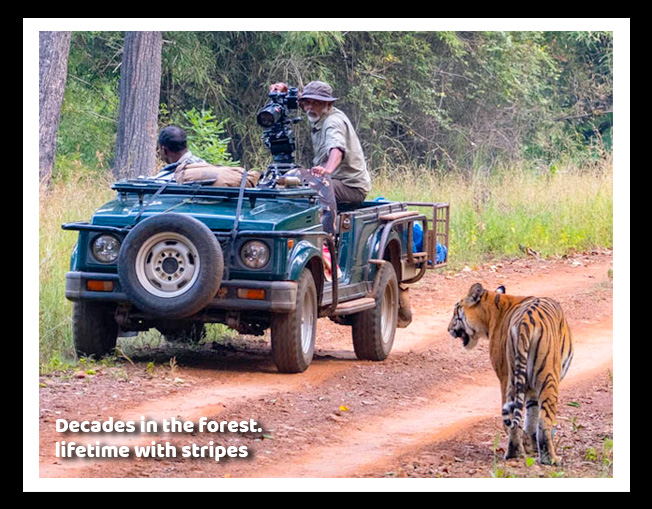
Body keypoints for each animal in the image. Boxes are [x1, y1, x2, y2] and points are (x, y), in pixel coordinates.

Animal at [448, 283, 574, 465]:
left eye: (456, 310)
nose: (448, 329)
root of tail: (526, 321)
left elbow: (530, 416)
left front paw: (530, 445)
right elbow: (531, 417)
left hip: (516, 377)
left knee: (516, 417)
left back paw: (518, 453)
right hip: (545, 376)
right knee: (543, 421)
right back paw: (548, 458)